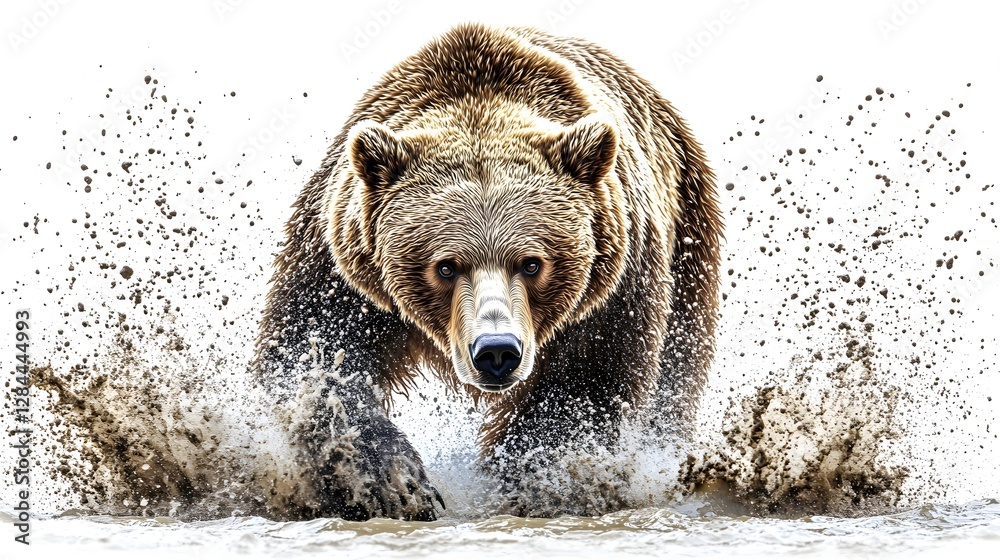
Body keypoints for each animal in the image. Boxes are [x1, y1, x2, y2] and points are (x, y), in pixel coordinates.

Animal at [253, 23, 722, 521]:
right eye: (445, 266)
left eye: (532, 263)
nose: (496, 351)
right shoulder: (345, 267)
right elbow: (316, 358)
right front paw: (395, 484)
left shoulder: (612, 287)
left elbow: (584, 386)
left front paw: (538, 484)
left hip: (688, 242)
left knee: (674, 378)